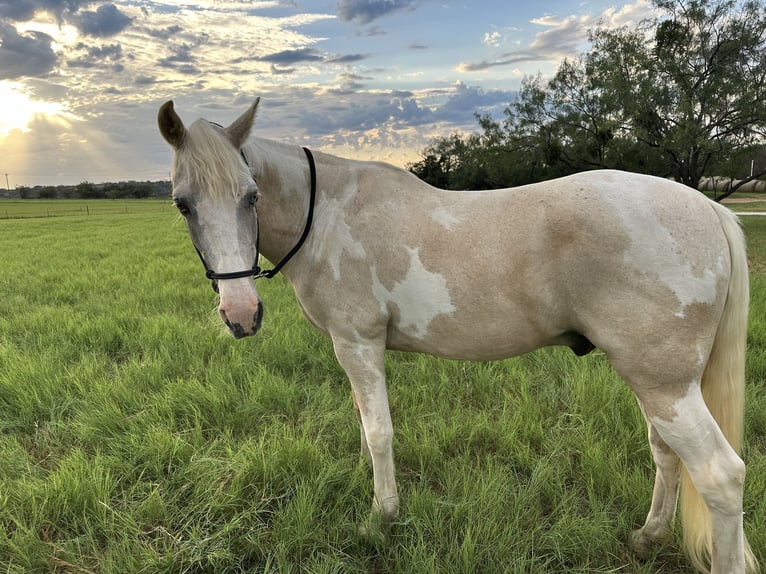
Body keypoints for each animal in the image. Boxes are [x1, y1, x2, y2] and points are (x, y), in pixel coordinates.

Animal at [158, 98, 757, 574]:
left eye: (251, 197)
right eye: (183, 203)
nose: (241, 313)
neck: (327, 213)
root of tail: (706, 207)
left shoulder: (358, 343)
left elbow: (379, 432)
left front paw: (381, 517)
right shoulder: (350, 349)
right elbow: (364, 426)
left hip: (664, 385)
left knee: (720, 475)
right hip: (660, 385)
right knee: (666, 454)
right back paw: (648, 536)